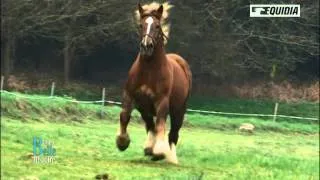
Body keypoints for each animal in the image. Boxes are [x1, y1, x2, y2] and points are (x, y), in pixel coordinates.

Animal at [115, 2, 191, 165]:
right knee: (152, 125)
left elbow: (161, 123)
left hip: (179, 110)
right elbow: (125, 116)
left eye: (157, 25)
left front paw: (159, 151)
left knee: (173, 133)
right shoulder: (133, 98)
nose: (146, 46)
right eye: (141, 25)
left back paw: (170, 157)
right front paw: (122, 142)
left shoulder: (162, 101)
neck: (149, 71)